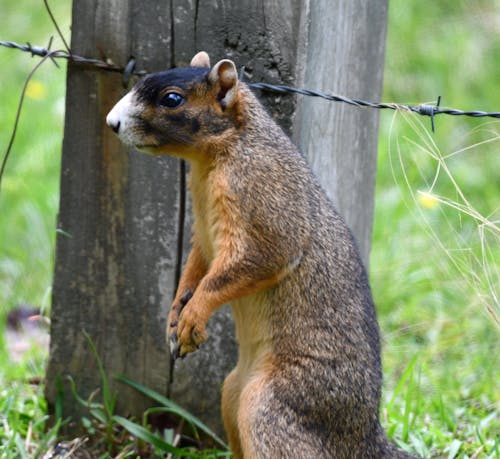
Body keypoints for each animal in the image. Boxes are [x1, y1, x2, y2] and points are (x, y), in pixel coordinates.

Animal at [107, 51, 420, 459]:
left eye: (172, 99)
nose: (112, 122)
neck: (216, 157)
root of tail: (360, 438)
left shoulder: (262, 198)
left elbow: (254, 262)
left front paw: (193, 317)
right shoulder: (204, 235)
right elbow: (196, 267)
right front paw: (175, 314)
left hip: (269, 406)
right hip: (232, 392)